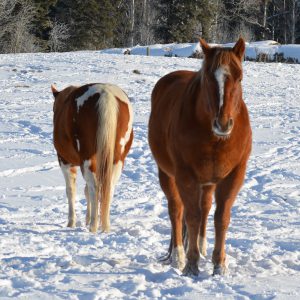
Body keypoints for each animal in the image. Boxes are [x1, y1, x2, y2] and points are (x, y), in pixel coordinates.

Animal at [52, 83, 133, 233]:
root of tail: (106, 94)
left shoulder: (65, 162)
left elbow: (70, 191)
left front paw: (71, 222)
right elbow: (85, 191)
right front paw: (86, 218)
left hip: (87, 158)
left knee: (94, 187)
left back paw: (93, 226)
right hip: (116, 160)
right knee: (108, 188)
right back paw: (104, 225)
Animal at [149, 38, 252, 276]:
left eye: (239, 77)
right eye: (207, 78)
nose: (222, 124)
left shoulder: (233, 176)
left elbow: (221, 217)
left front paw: (219, 264)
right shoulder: (185, 177)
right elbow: (191, 217)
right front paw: (191, 264)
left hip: (208, 182)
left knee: (205, 208)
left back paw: (203, 247)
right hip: (167, 174)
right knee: (176, 210)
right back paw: (178, 255)